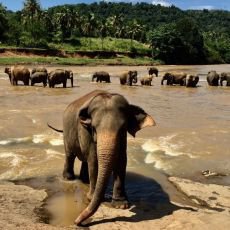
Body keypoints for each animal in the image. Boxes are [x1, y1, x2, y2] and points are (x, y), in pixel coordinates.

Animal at [48, 90, 156, 226]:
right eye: (94, 128)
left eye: (123, 128)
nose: (77, 221)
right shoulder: (85, 132)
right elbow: (94, 160)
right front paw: (92, 198)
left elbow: (121, 160)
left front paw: (121, 205)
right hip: (67, 133)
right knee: (70, 155)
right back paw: (69, 179)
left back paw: (84, 180)